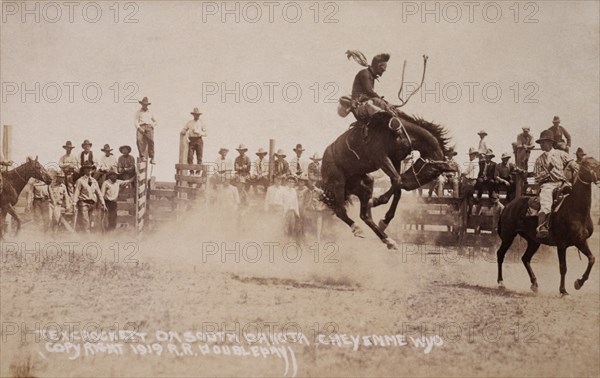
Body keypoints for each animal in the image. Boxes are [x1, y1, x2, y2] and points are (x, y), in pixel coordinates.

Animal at [322, 110, 452, 250]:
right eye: (432, 173)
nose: (408, 185)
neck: (401, 133)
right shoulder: (381, 157)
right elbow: (397, 180)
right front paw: (377, 201)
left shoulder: (396, 160)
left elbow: (397, 186)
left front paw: (383, 220)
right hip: (338, 182)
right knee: (340, 211)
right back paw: (357, 228)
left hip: (364, 184)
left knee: (364, 215)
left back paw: (387, 239)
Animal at [496, 157, 600, 296]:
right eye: (588, 164)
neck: (575, 209)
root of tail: (508, 206)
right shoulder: (562, 244)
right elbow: (563, 267)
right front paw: (563, 291)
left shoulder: (580, 241)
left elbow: (592, 259)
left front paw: (578, 283)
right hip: (508, 236)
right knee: (500, 254)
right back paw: (501, 283)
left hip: (533, 241)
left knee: (525, 258)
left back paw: (534, 284)